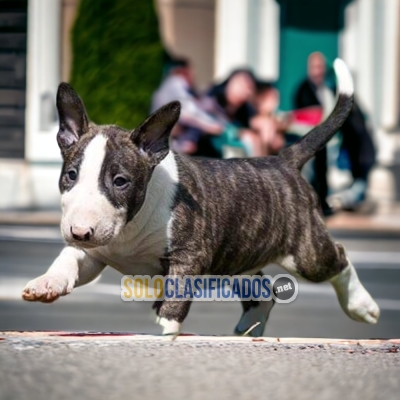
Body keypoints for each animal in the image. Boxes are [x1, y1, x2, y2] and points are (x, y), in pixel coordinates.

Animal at [21, 58, 378, 334]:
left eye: (120, 181)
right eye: (71, 175)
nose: (79, 231)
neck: (131, 227)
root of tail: (283, 160)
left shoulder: (188, 257)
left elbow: (173, 303)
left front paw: (163, 332)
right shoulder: (96, 253)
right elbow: (69, 257)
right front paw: (47, 283)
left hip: (304, 253)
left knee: (339, 258)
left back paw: (362, 306)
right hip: (240, 254)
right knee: (263, 292)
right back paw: (249, 329)